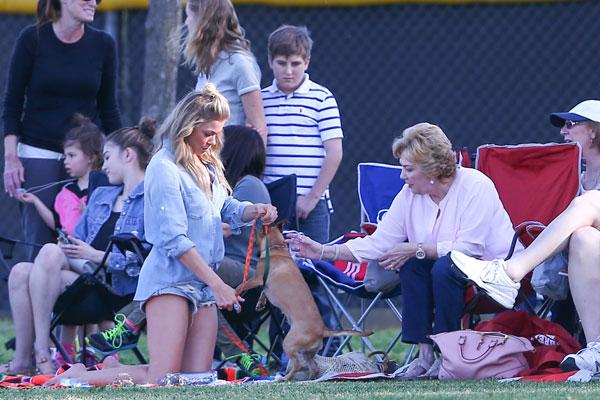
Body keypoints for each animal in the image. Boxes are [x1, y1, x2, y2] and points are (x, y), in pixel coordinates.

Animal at [237, 223, 372, 380]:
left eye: (260, 230)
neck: (277, 249)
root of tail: (322, 330)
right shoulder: (265, 284)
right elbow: (263, 292)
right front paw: (260, 303)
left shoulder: (257, 279)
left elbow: (240, 286)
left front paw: (234, 295)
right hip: (308, 353)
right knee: (313, 367)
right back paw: (309, 380)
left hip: (288, 344)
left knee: (297, 365)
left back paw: (285, 378)